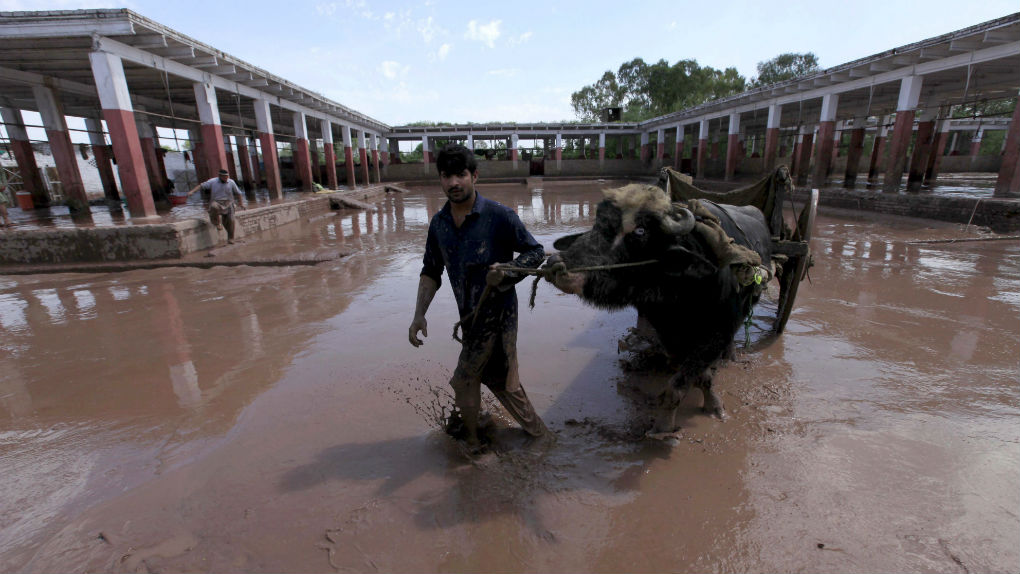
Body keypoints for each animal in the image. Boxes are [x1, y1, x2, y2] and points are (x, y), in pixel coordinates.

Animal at [542, 186, 771, 434]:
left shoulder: (716, 334)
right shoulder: (670, 336)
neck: (683, 294)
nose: (556, 263)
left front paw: (674, 423)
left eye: (640, 231)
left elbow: (683, 383)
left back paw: (730, 356)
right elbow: (696, 377)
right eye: (597, 224)